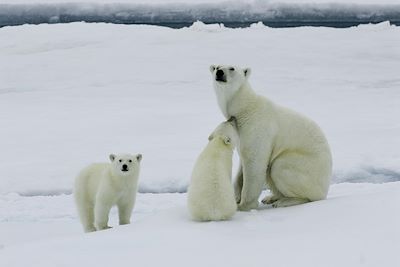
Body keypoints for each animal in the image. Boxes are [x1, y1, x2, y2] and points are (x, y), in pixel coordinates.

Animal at [209, 64, 332, 211]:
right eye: (216, 66)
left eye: (232, 68)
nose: (220, 72)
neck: (245, 108)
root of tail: (325, 188)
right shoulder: (240, 133)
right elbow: (241, 167)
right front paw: (236, 197)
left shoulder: (257, 127)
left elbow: (255, 163)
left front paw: (244, 205)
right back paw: (271, 197)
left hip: (307, 169)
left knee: (279, 167)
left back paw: (284, 201)